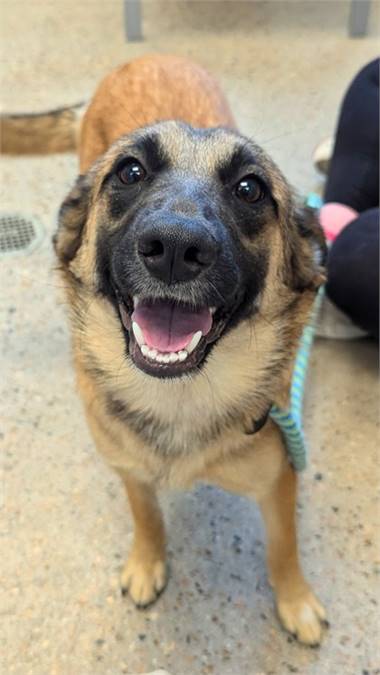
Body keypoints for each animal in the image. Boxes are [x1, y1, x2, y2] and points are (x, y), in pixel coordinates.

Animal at [2, 55, 328, 648]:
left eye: (250, 188)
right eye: (130, 173)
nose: (175, 247)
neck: (180, 395)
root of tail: (145, 59)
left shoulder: (279, 479)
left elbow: (283, 546)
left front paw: (295, 600)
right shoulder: (128, 467)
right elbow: (146, 514)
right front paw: (147, 562)